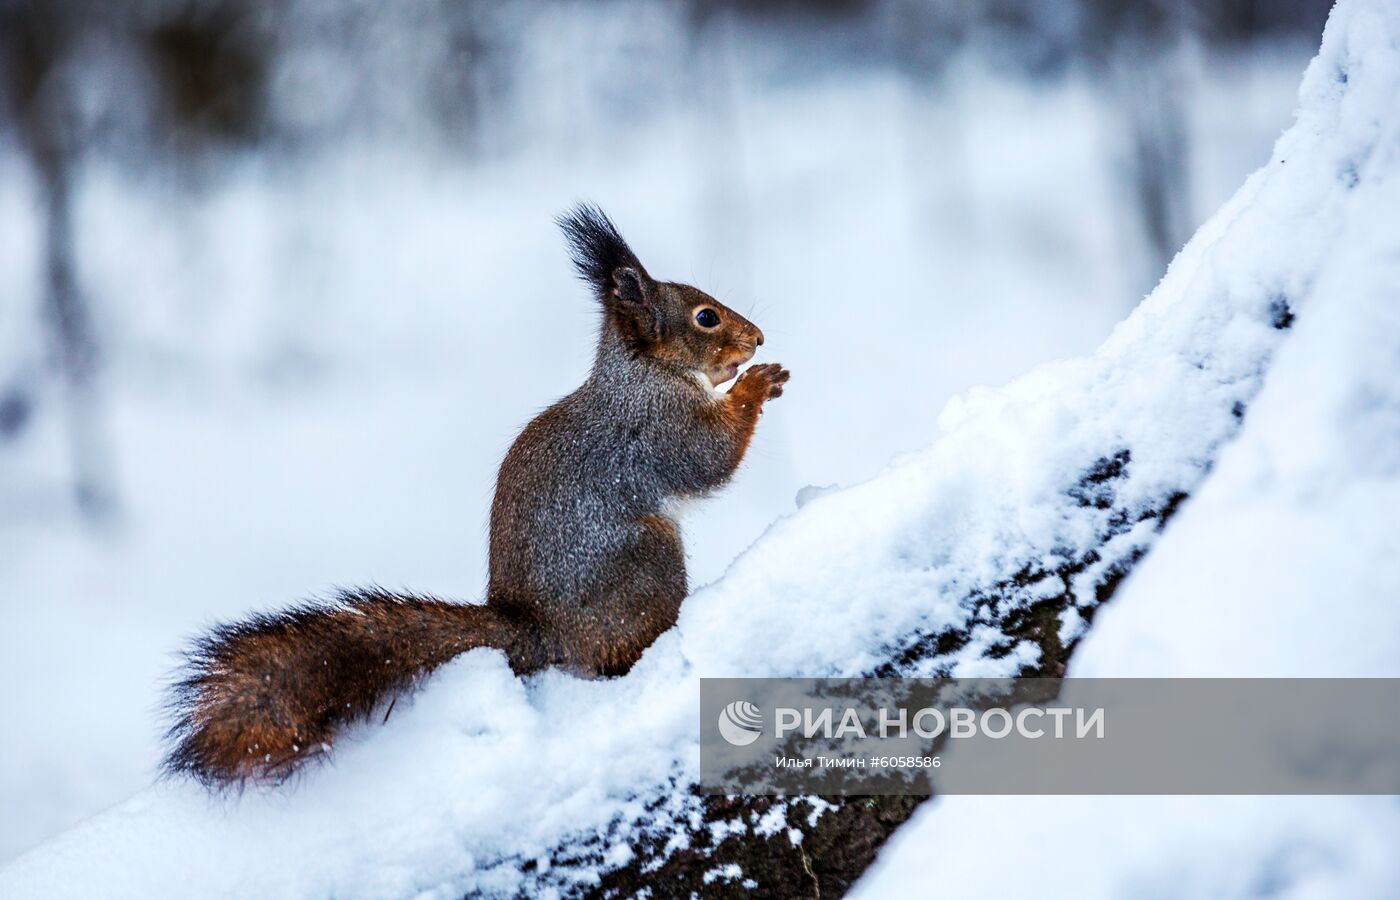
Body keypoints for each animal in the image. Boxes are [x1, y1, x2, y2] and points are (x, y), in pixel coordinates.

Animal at [163, 205, 789, 789]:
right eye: (705, 317)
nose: (758, 337)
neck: (644, 371)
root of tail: (537, 630)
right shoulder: (660, 423)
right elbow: (709, 459)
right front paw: (757, 384)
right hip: (648, 559)